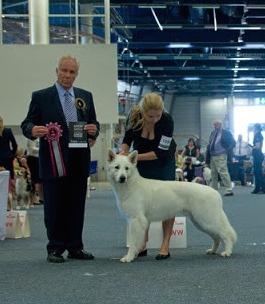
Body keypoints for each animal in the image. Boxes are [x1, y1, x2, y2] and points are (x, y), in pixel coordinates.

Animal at [108, 150, 237, 264]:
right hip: (200, 223)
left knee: (226, 235)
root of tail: (214, 192)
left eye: (127, 168)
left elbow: (134, 242)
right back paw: (213, 251)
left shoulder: (137, 220)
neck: (130, 185)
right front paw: (135, 255)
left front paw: (129, 257)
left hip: (207, 221)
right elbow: (138, 241)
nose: (122, 178)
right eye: (116, 167)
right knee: (217, 237)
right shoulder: (135, 221)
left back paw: (227, 252)